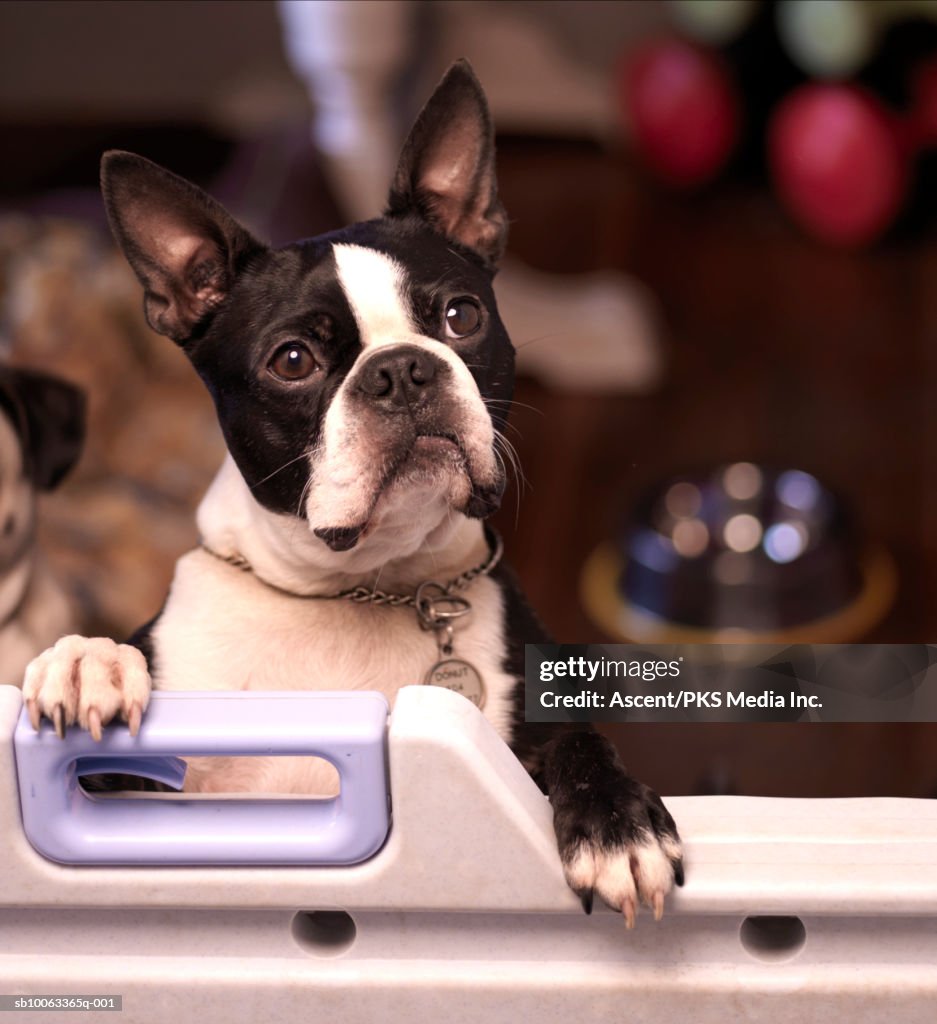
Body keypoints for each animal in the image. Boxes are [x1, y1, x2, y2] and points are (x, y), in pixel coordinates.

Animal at [22, 61, 679, 929]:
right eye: (293, 360)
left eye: (461, 316)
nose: (401, 369)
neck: (363, 589)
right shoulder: (127, 799)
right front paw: (87, 661)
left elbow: (581, 740)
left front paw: (616, 825)